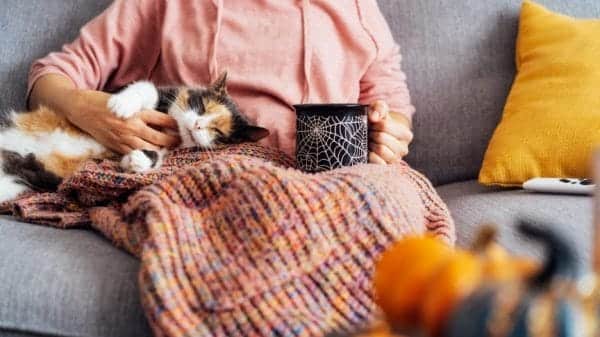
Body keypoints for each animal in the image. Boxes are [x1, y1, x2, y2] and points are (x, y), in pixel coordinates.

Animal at [0, 72, 270, 201]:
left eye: (219, 132)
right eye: (201, 106)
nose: (197, 125)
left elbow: (157, 155)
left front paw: (137, 160)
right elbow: (147, 88)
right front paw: (122, 105)